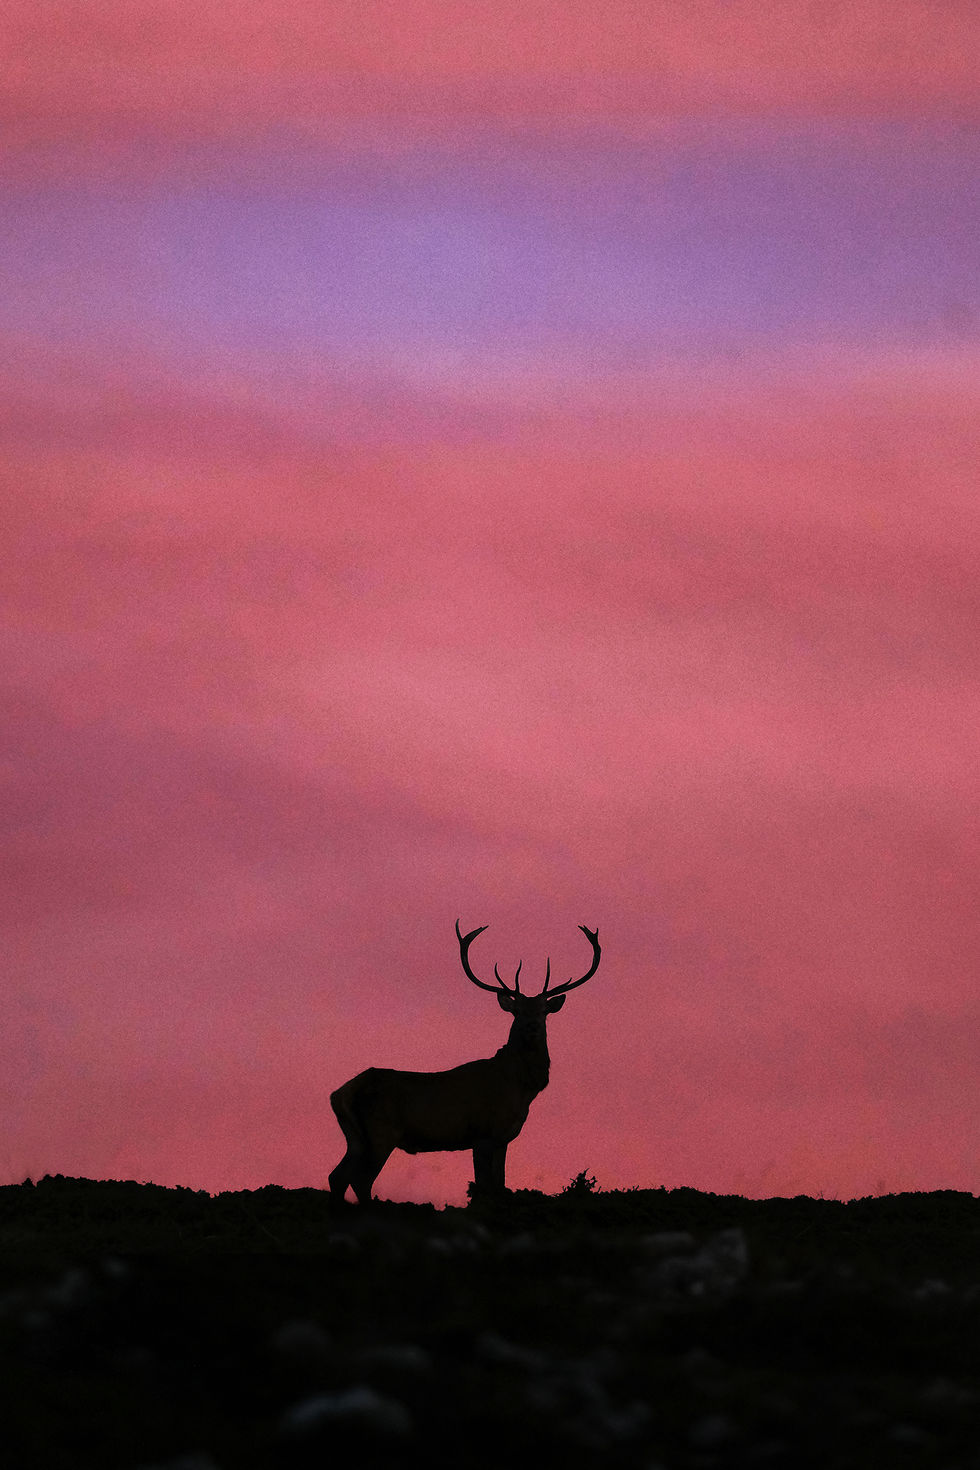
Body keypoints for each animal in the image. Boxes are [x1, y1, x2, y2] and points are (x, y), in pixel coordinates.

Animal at [328, 919, 601, 1204]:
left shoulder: (502, 1138)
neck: (519, 1088)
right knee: (360, 1180)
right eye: (517, 1011)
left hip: (356, 1138)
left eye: (544, 1010)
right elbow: (483, 1187)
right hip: (381, 1132)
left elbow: (499, 1185)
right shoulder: (481, 1133)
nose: (532, 1026)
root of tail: (340, 1093)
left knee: (337, 1177)